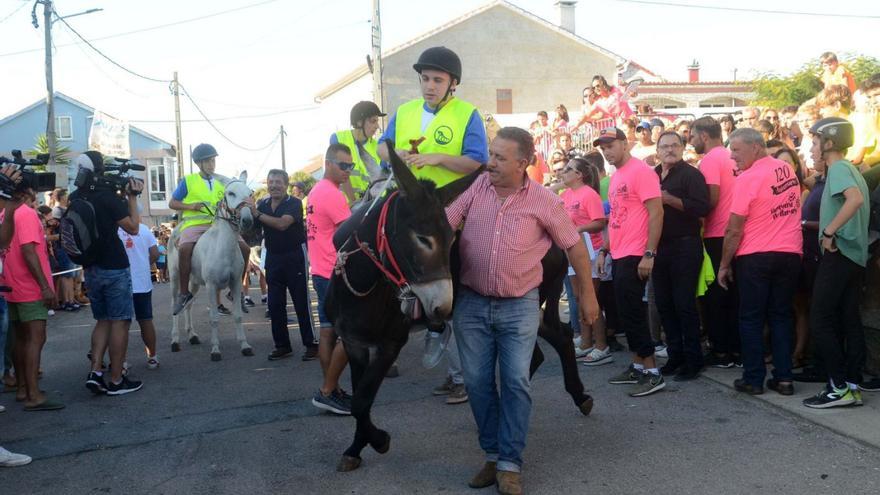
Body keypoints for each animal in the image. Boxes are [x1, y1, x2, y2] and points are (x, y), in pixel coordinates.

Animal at [168, 172, 254, 362]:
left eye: (250, 193)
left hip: (193, 282)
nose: (247, 220)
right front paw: (215, 350)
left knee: (189, 304)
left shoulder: (235, 283)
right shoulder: (211, 286)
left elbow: (238, 316)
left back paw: (192, 335)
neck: (222, 247)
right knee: (176, 305)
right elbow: (214, 318)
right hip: (175, 278)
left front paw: (245, 346)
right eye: (230, 193)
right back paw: (175, 340)